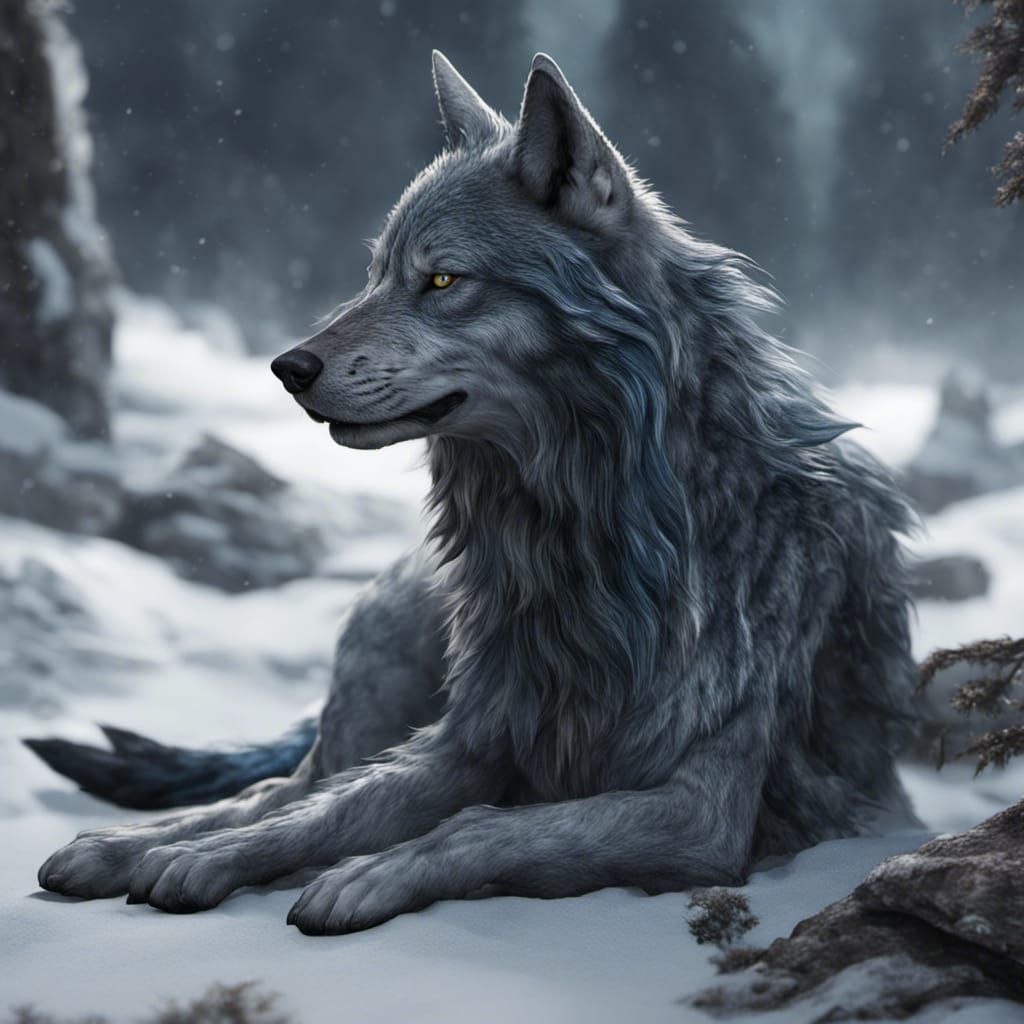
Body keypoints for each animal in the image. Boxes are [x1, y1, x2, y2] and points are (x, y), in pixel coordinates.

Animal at [31, 52, 917, 935]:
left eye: (442, 278)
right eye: (376, 277)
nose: (288, 368)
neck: (588, 540)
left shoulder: (704, 811)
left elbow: (485, 827)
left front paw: (366, 876)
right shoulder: (470, 739)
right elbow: (337, 810)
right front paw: (199, 858)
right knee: (287, 786)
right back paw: (121, 846)